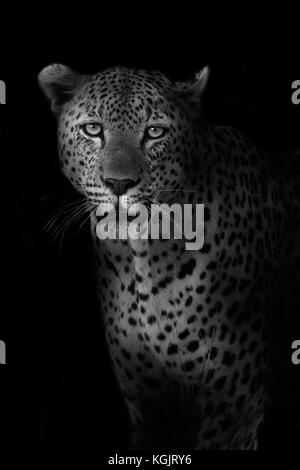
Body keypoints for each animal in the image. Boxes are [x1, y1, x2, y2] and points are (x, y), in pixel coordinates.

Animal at [38, 64, 300, 450]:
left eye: (155, 132)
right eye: (93, 129)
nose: (119, 184)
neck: (140, 257)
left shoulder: (235, 403)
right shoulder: (150, 401)